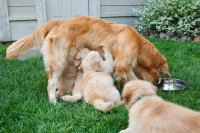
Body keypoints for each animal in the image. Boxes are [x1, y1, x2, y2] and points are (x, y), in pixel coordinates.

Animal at [5, 15, 170, 103]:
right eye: (159, 74)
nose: (158, 83)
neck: (139, 43)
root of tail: (58, 22)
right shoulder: (123, 65)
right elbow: (133, 78)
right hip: (59, 62)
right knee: (51, 84)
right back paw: (53, 102)